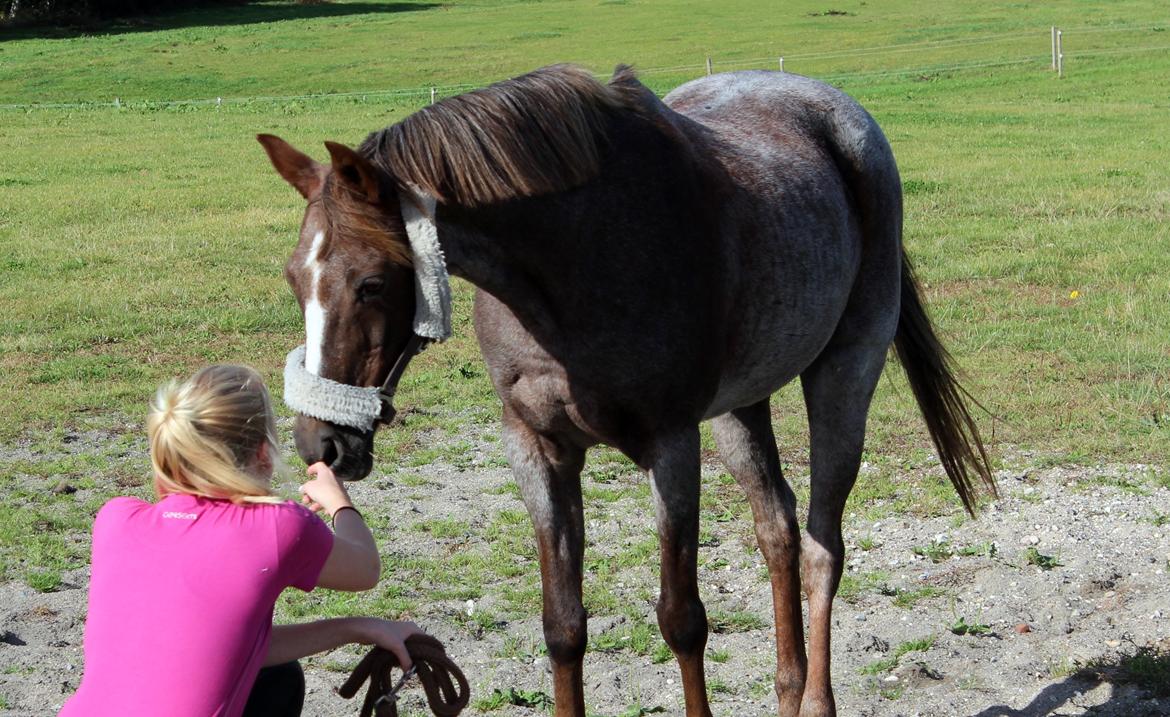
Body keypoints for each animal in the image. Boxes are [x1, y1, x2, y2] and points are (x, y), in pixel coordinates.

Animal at [258, 64, 995, 717]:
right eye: (294, 277)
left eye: (370, 283)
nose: (319, 441)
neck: (570, 265)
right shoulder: (537, 448)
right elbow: (562, 625)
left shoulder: (671, 445)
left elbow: (682, 619)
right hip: (738, 408)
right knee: (778, 530)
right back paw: (787, 690)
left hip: (844, 374)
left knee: (821, 547)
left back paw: (815, 701)